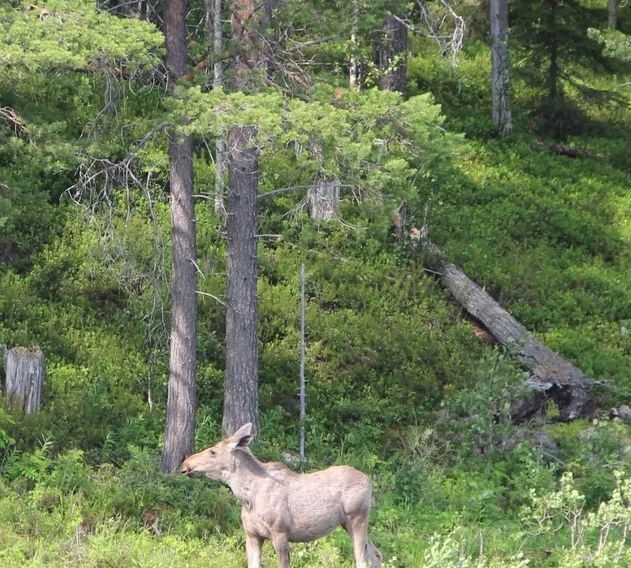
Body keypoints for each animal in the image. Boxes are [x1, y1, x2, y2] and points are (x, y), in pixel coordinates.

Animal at [180, 424, 382, 564]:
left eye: (213, 451)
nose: (185, 464)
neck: (247, 498)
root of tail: (369, 481)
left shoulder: (280, 533)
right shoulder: (252, 535)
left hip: (357, 518)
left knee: (362, 559)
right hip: (346, 523)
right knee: (376, 555)